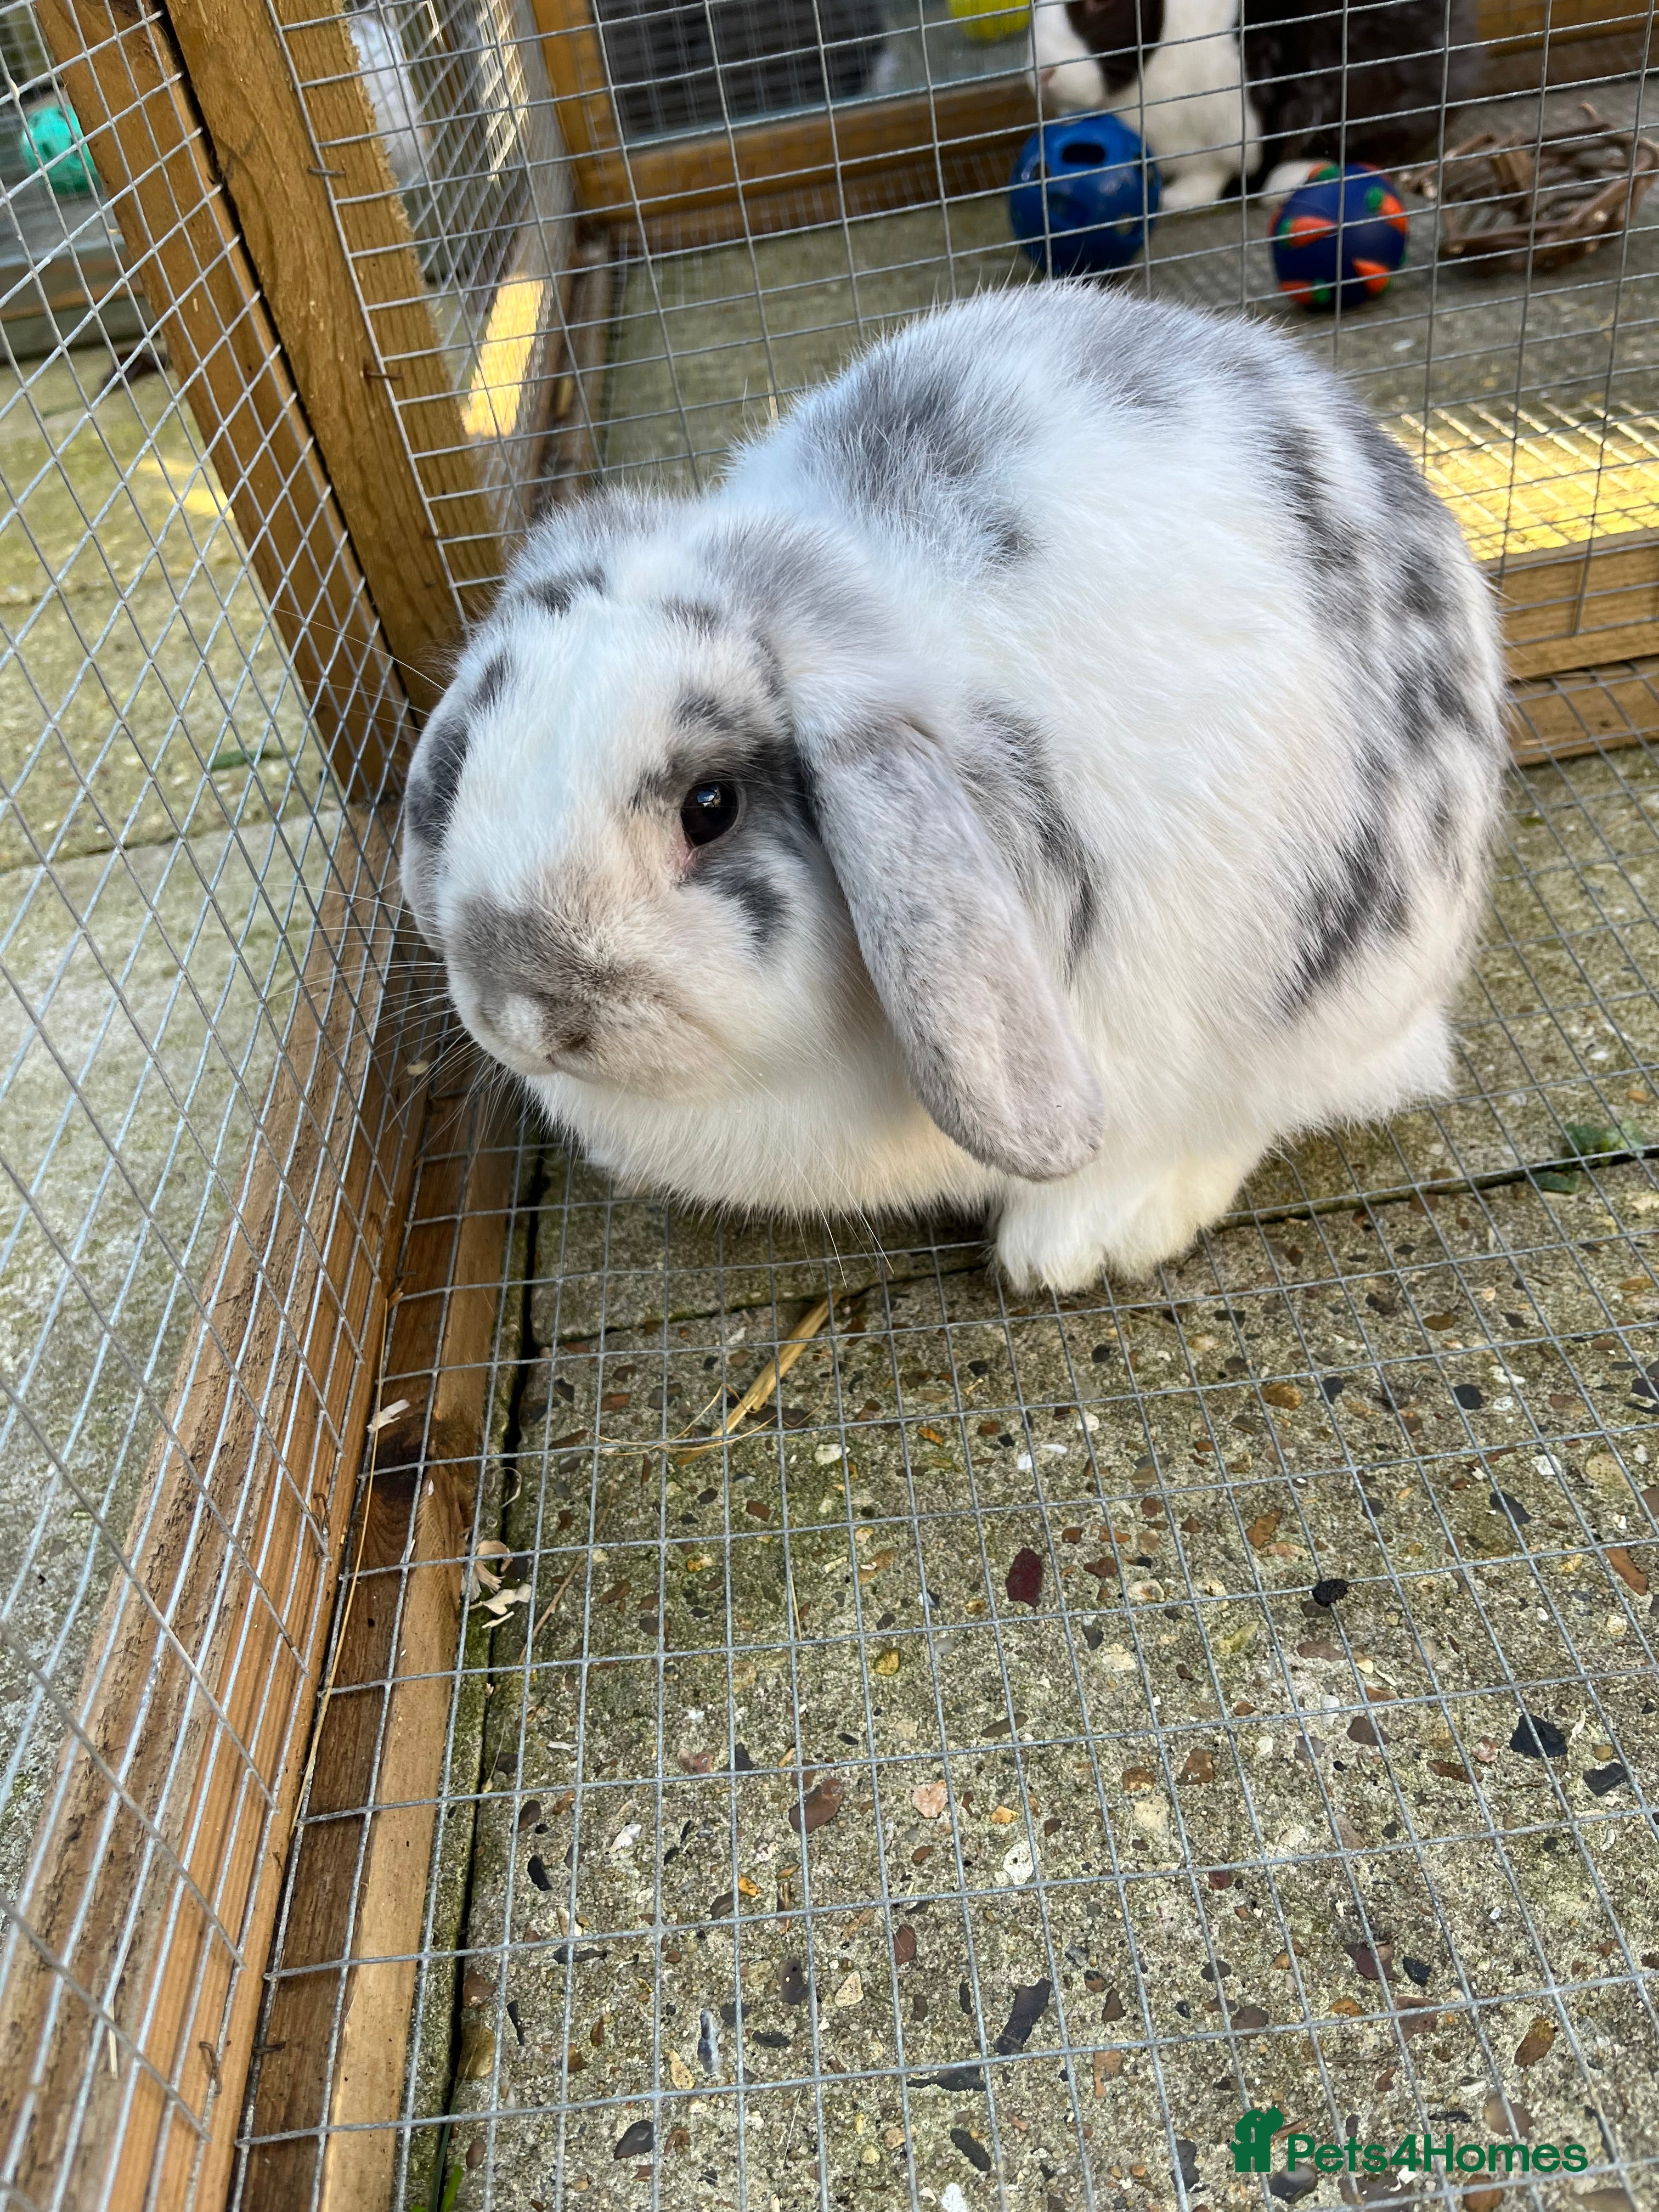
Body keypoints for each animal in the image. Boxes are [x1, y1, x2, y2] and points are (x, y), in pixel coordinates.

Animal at [1030, 0, 1482, 211]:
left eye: (1096, 4)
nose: (1043, 73)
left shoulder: (1224, 126)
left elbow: (1210, 172)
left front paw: (1176, 200)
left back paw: (1287, 182)